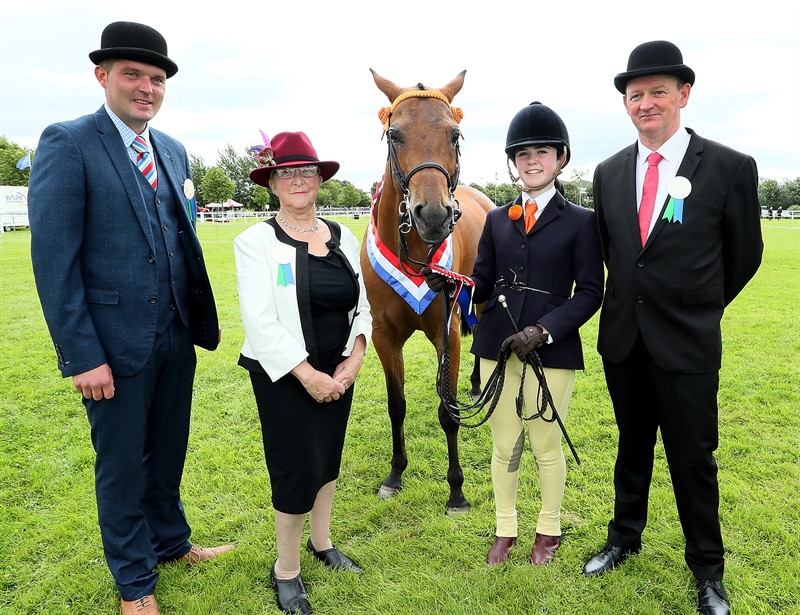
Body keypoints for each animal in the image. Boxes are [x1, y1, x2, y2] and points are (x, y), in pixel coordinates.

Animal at [360, 70, 494, 514]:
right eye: (394, 134)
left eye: (454, 134)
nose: (433, 215)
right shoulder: (384, 336)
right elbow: (396, 406)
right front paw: (395, 474)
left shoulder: (446, 331)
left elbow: (448, 411)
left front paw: (456, 492)